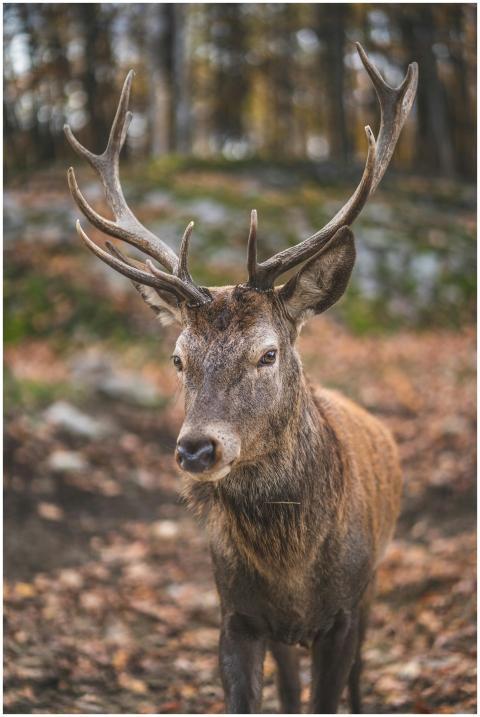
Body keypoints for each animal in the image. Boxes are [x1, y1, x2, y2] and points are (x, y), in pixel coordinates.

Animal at [64, 43, 418, 714]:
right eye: (179, 357)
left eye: (268, 354)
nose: (196, 448)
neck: (293, 576)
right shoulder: (236, 615)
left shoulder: (343, 614)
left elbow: (334, 690)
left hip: (375, 583)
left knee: (360, 675)